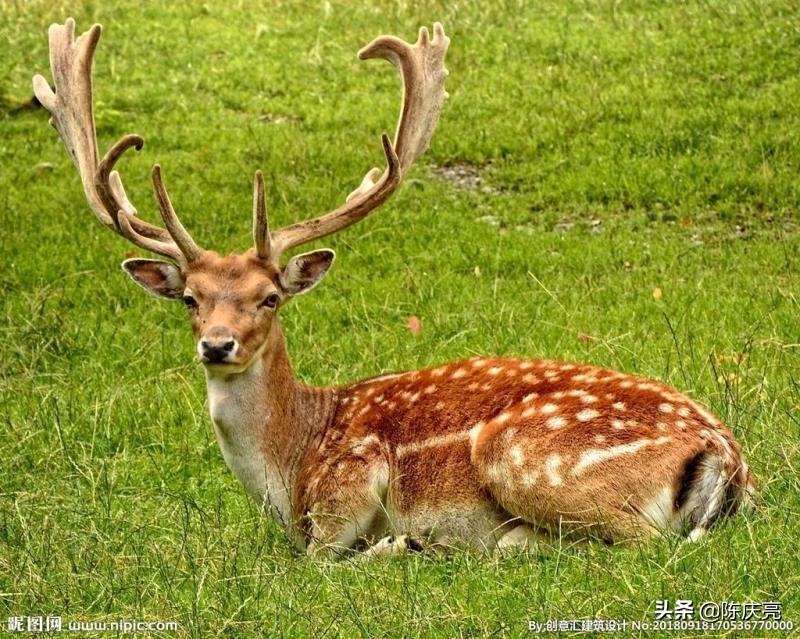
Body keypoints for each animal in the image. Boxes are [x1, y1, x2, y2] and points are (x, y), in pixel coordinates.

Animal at [34, 18, 752, 560]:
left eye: (270, 296)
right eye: (191, 298)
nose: (217, 344)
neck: (291, 465)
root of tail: (726, 454)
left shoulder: (350, 481)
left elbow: (318, 560)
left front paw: (396, 544)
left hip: (522, 455)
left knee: (638, 542)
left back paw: (475, 544)